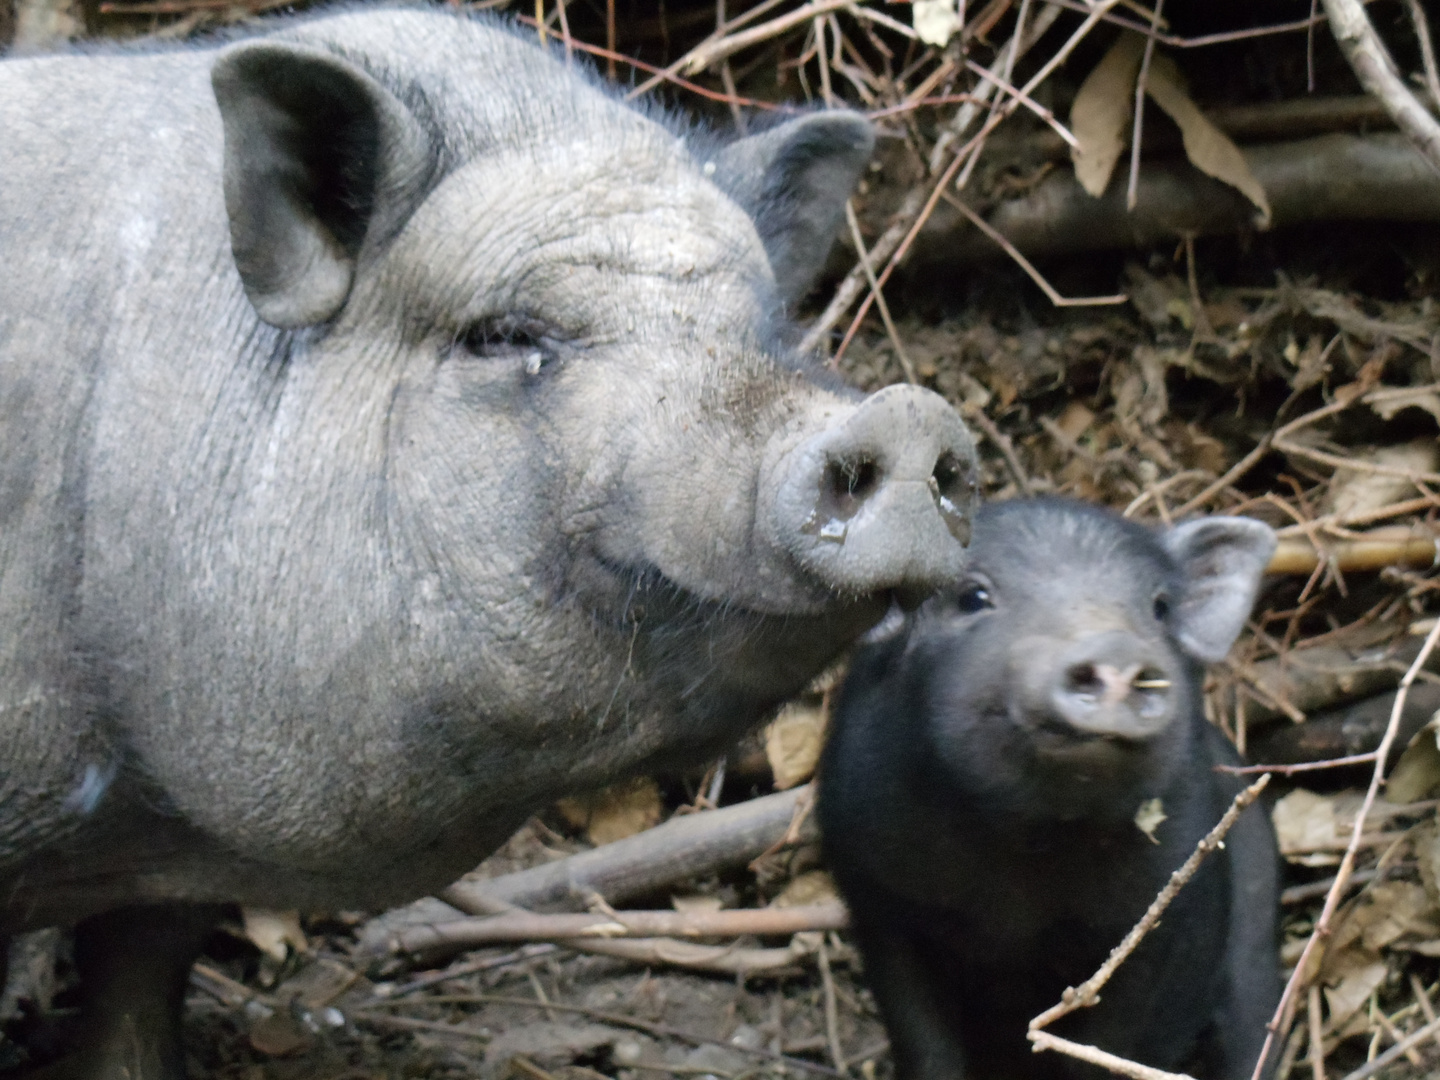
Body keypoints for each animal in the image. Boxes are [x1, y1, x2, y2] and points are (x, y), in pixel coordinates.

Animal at [817, 501, 1278, 1080]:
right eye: (973, 596)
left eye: (1160, 607)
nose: (1114, 645)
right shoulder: (877, 897)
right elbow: (924, 1041)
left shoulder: (1161, 923)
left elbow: (1112, 1046)